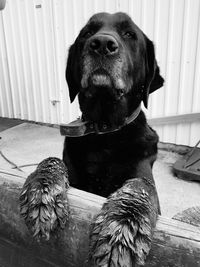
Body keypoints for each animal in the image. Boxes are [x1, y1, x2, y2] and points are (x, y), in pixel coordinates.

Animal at [19, 12, 164, 266]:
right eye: (87, 33)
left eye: (129, 34)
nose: (102, 44)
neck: (105, 134)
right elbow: (52, 159)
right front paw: (42, 191)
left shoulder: (143, 173)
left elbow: (141, 185)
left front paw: (122, 227)